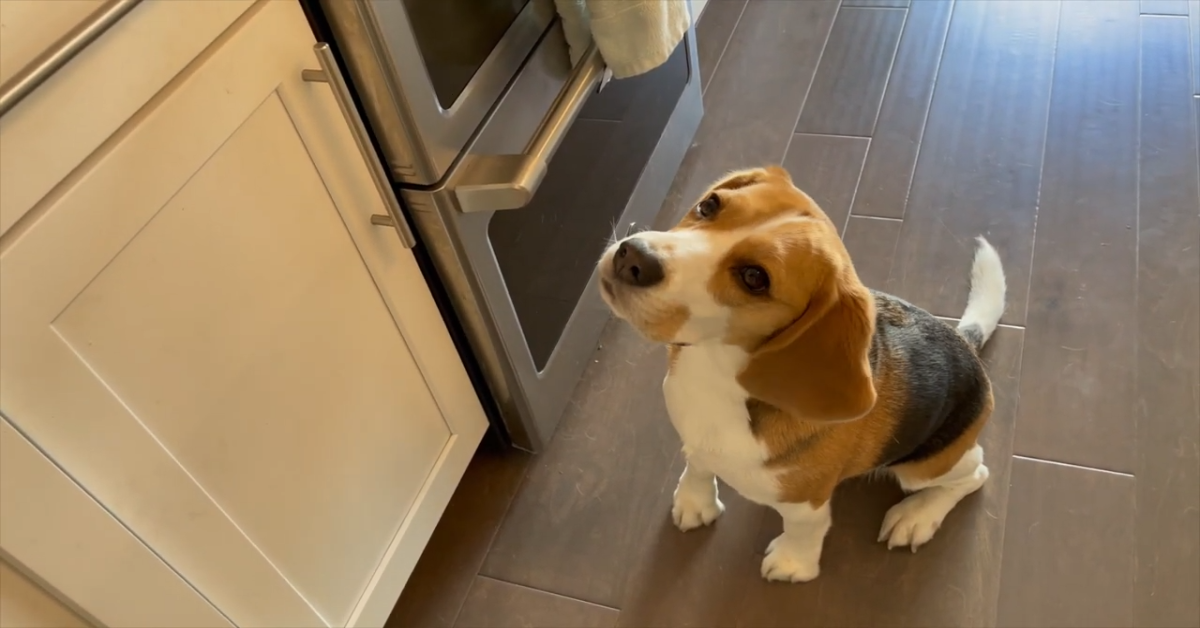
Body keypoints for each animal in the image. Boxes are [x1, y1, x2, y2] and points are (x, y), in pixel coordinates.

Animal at [597, 164, 1003, 583]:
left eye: (754, 277)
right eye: (709, 205)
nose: (632, 256)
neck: (717, 372)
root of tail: (964, 339)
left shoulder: (806, 499)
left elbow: (804, 529)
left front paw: (793, 564)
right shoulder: (696, 439)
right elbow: (697, 466)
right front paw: (694, 501)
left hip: (924, 466)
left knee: (976, 474)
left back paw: (916, 516)